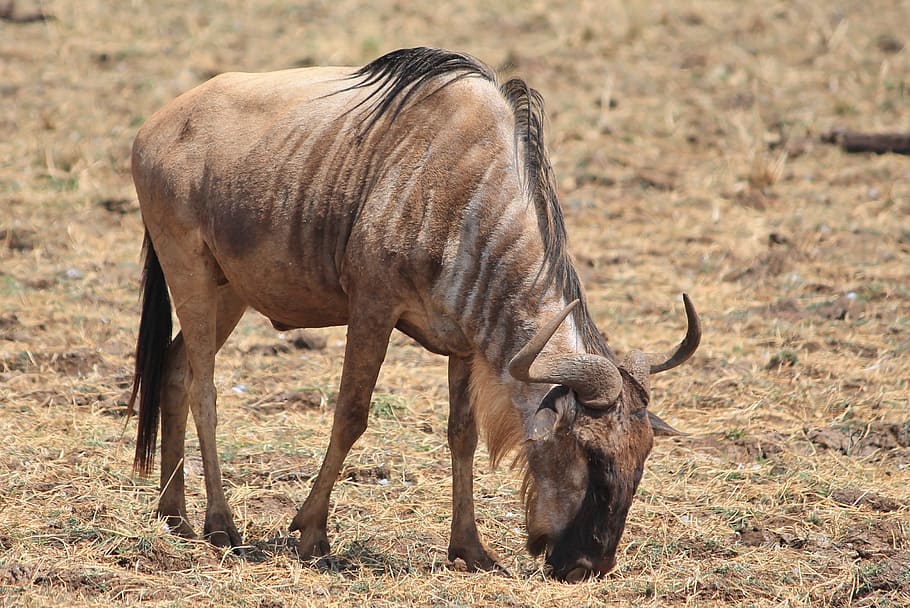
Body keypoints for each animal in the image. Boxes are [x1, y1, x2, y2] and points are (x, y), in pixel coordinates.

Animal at [128, 47, 701, 582]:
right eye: (588, 452)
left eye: (642, 457)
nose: (589, 565)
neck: (463, 195)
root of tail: (155, 125)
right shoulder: (372, 309)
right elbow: (350, 416)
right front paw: (312, 534)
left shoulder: (465, 343)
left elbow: (462, 435)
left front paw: (469, 549)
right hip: (189, 268)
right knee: (205, 388)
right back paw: (220, 525)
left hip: (229, 288)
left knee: (176, 368)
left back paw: (174, 515)